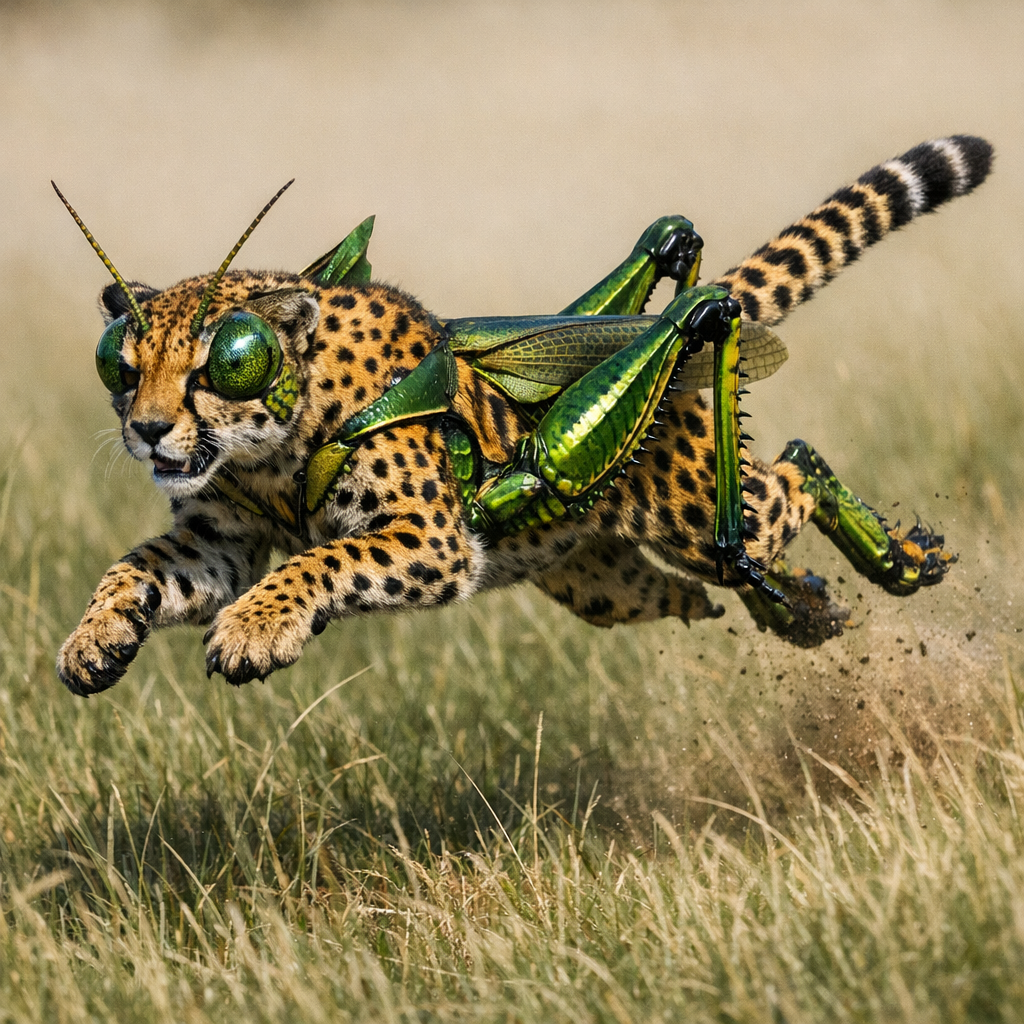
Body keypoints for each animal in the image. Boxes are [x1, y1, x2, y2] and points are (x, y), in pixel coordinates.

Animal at [56, 135, 993, 695]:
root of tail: (664, 338)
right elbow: (134, 566)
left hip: (695, 501)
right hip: (606, 582)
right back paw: (800, 604)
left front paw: (255, 628)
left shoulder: (432, 539)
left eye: (226, 361)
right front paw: (94, 638)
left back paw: (892, 564)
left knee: (794, 473)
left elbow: (321, 560)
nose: (146, 430)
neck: (278, 432)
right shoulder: (224, 539)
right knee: (709, 570)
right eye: (120, 366)